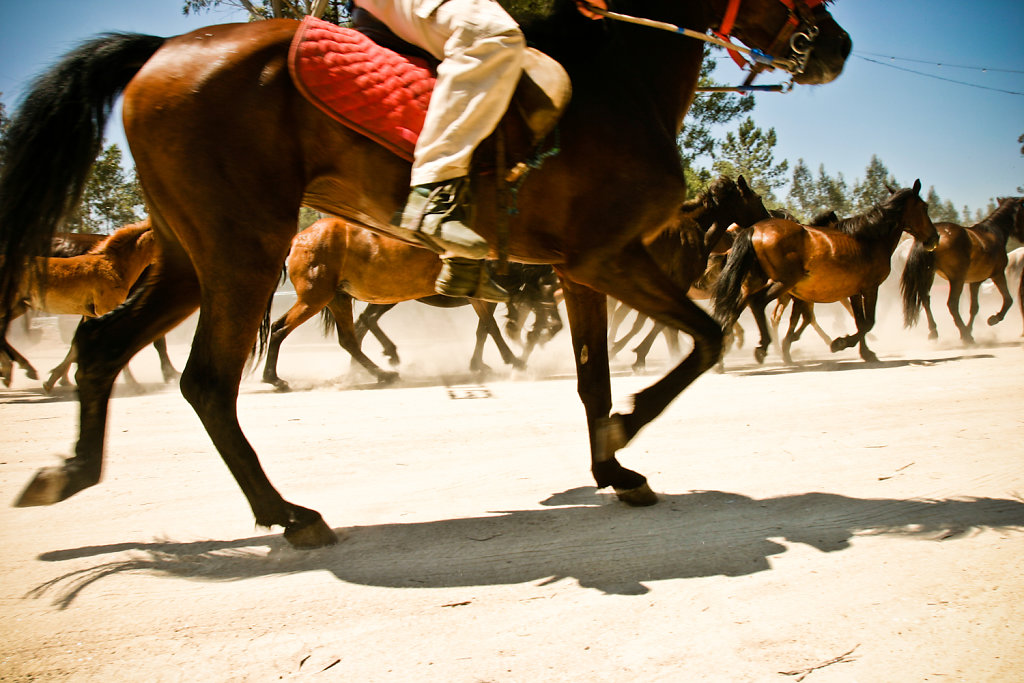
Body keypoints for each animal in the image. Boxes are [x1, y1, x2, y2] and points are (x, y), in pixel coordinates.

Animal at [0, 0, 847, 548]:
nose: (835, 42)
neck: (614, 82)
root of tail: (160, 51)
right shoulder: (609, 258)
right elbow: (703, 338)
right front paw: (628, 424)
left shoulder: (580, 271)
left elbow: (591, 376)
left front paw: (614, 467)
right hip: (243, 250)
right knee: (209, 378)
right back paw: (289, 512)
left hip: (188, 255)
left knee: (104, 347)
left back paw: (69, 471)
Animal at [712, 180, 937, 362]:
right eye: (925, 207)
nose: (934, 238)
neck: (870, 240)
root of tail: (753, 229)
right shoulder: (870, 288)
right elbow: (868, 322)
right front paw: (840, 343)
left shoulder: (854, 292)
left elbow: (860, 321)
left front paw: (865, 353)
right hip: (783, 282)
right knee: (758, 304)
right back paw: (762, 347)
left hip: (757, 282)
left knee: (739, 306)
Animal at [905, 194, 1024, 344]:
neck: (993, 232)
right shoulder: (998, 274)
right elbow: (1008, 300)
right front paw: (993, 319)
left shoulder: (975, 282)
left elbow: (974, 308)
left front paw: (970, 329)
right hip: (957, 279)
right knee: (952, 304)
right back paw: (965, 335)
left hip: (929, 274)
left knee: (926, 299)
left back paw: (935, 331)